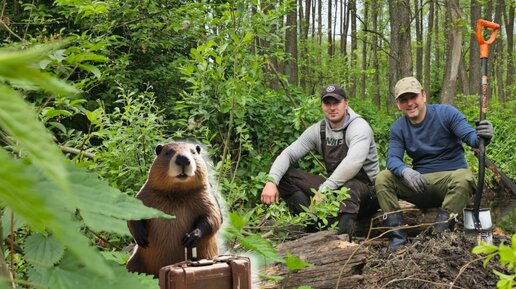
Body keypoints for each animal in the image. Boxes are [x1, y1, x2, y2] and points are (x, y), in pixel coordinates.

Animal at [126, 141, 222, 276]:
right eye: (168, 152)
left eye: (194, 151)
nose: (183, 159)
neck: (176, 193)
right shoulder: (145, 194)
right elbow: (133, 213)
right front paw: (142, 237)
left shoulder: (205, 196)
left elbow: (213, 217)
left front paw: (190, 238)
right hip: (134, 261)